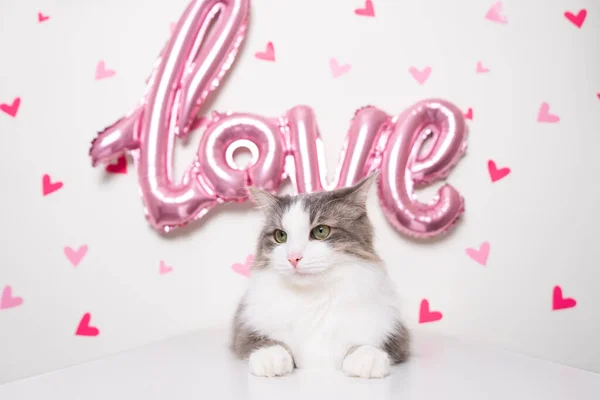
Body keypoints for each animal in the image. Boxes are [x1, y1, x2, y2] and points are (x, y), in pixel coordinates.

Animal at [229, 174, 408, 378]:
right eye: (280, 236)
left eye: (321, 231)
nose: (293, 258)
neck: (313, 298)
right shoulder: (244, 328)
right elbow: (266, 342)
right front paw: (270, 356)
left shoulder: (396, 334)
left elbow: (367, 344)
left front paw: (367, 356)